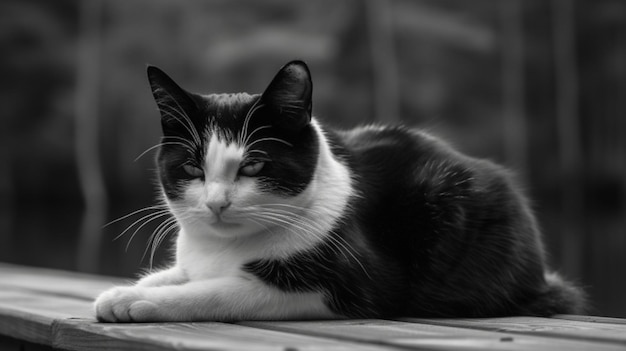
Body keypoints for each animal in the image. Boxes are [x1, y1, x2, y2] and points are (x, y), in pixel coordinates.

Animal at [95, 59, 584, 322]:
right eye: (193, 167)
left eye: (253, 164)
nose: (217, 204)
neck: (222, 249)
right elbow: (179, 275)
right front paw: (121, 293)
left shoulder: (346, 286)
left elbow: (215, 291)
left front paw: (141, 301)